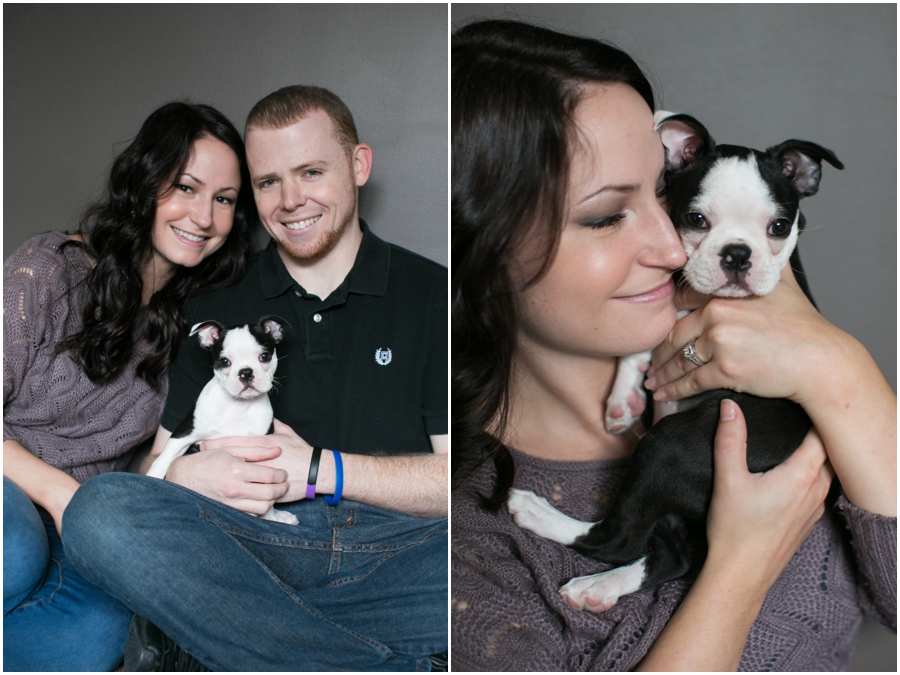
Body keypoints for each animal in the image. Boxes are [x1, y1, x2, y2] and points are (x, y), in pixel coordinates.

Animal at [148, 316, 298, 528]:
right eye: (224, 361)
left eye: (265, 356)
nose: (246, 372)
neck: (238, 405)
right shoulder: (183, 435)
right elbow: (161, 461)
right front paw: (150, 480)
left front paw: (270, 517)